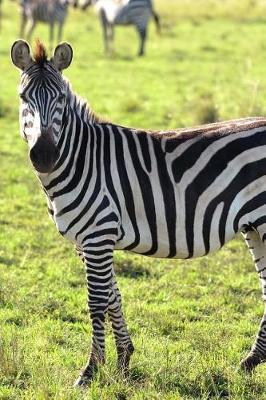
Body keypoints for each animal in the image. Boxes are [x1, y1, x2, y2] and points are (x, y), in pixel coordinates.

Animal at [11, 39, 266, 386]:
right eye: (24, 98)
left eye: (61, 98)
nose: (45, 155)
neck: (81, 159)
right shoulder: (87, 242)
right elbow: (113, 297)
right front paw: (123, 361)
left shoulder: (98, 235)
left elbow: (97, 301)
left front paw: (91, 370)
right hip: (254, 227)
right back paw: (249, 363)